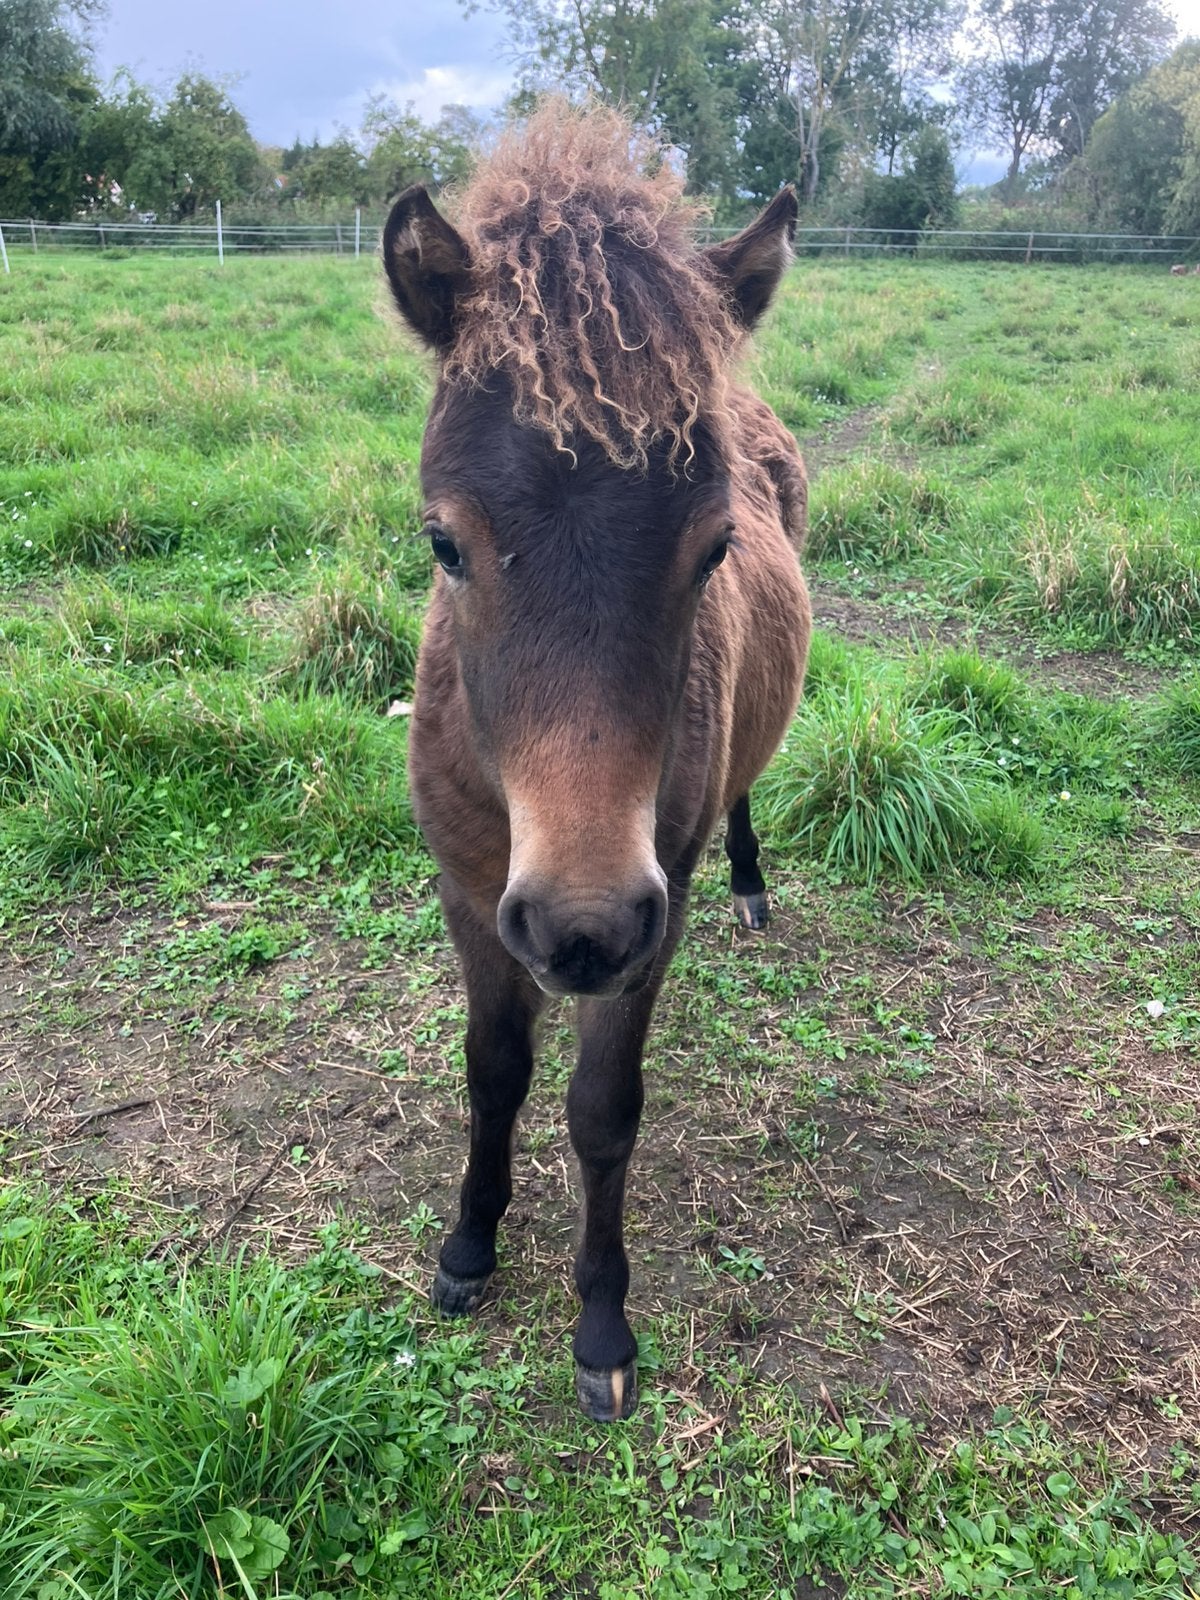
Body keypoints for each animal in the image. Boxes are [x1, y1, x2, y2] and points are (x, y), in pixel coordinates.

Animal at [383, 102, 811, 1422]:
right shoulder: (472, 894)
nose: (578, 927)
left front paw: (601, 1323)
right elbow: (494, 1070)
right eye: (444, 542)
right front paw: (470, 1247)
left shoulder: (647, 915)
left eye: (716, 547)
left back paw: (753, 883)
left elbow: (601, 1109)